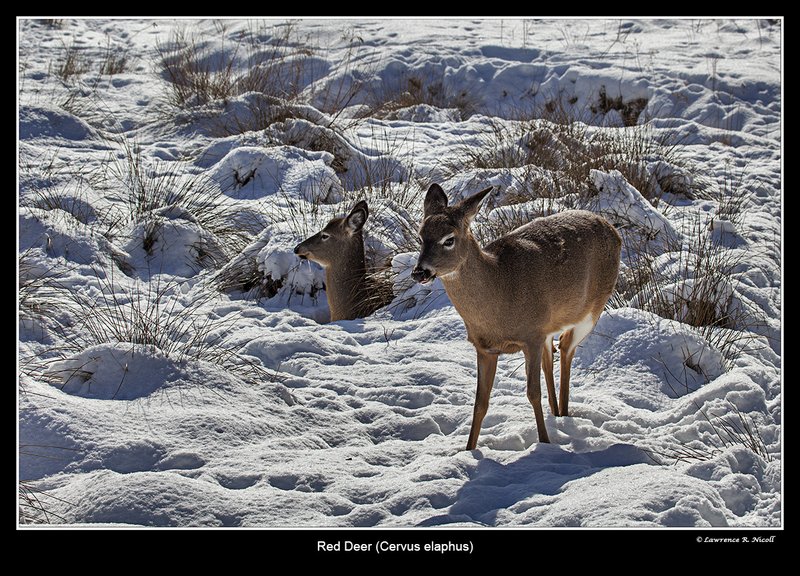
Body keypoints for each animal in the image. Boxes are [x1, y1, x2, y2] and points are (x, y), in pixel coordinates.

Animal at [412, 184, 621, 450]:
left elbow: (533, 393)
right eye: (420, 237)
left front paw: (544, 443)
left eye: (449, 239)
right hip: (548, 326)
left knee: (566, 348)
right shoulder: (485, 348)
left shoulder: (530, 336)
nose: (420, 272)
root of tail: (613, 228)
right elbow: (480, 402)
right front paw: (468, 450)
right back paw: (557, 413)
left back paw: (564, 414)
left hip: (593, 308)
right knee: (551, 354)